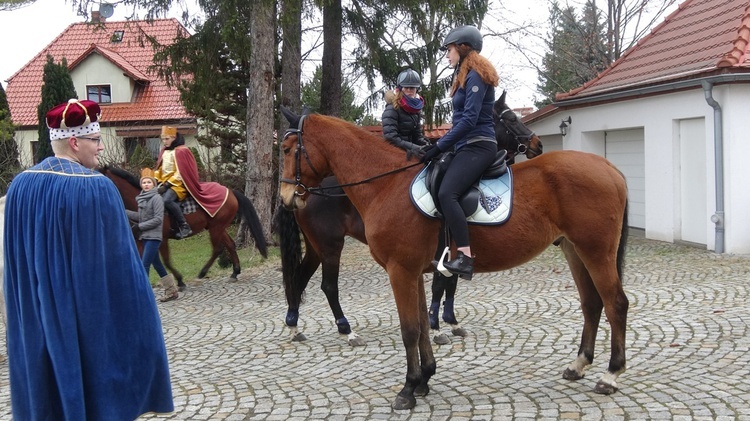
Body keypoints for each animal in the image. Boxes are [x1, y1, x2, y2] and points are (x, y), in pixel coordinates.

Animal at [101, 166, 268, 288]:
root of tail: (230, 191)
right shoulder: (142, 241)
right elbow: (144, 261)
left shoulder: (162, 239)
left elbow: (166, 261)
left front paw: (180, 281)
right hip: (218, 227)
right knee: (230, 245)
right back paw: (235, 272)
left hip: (216, 228)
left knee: (218, 248)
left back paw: (203, 272)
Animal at [278, 91, 548, 344]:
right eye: (511, 119)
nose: (538, 144)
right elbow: (441, 285)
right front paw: (436, 326)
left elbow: (450, 283)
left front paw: (451, 321)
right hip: (331, 246)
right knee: (328, 286)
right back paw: (347, 330)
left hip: (317, 247)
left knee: (300, 278)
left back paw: (293, 325)